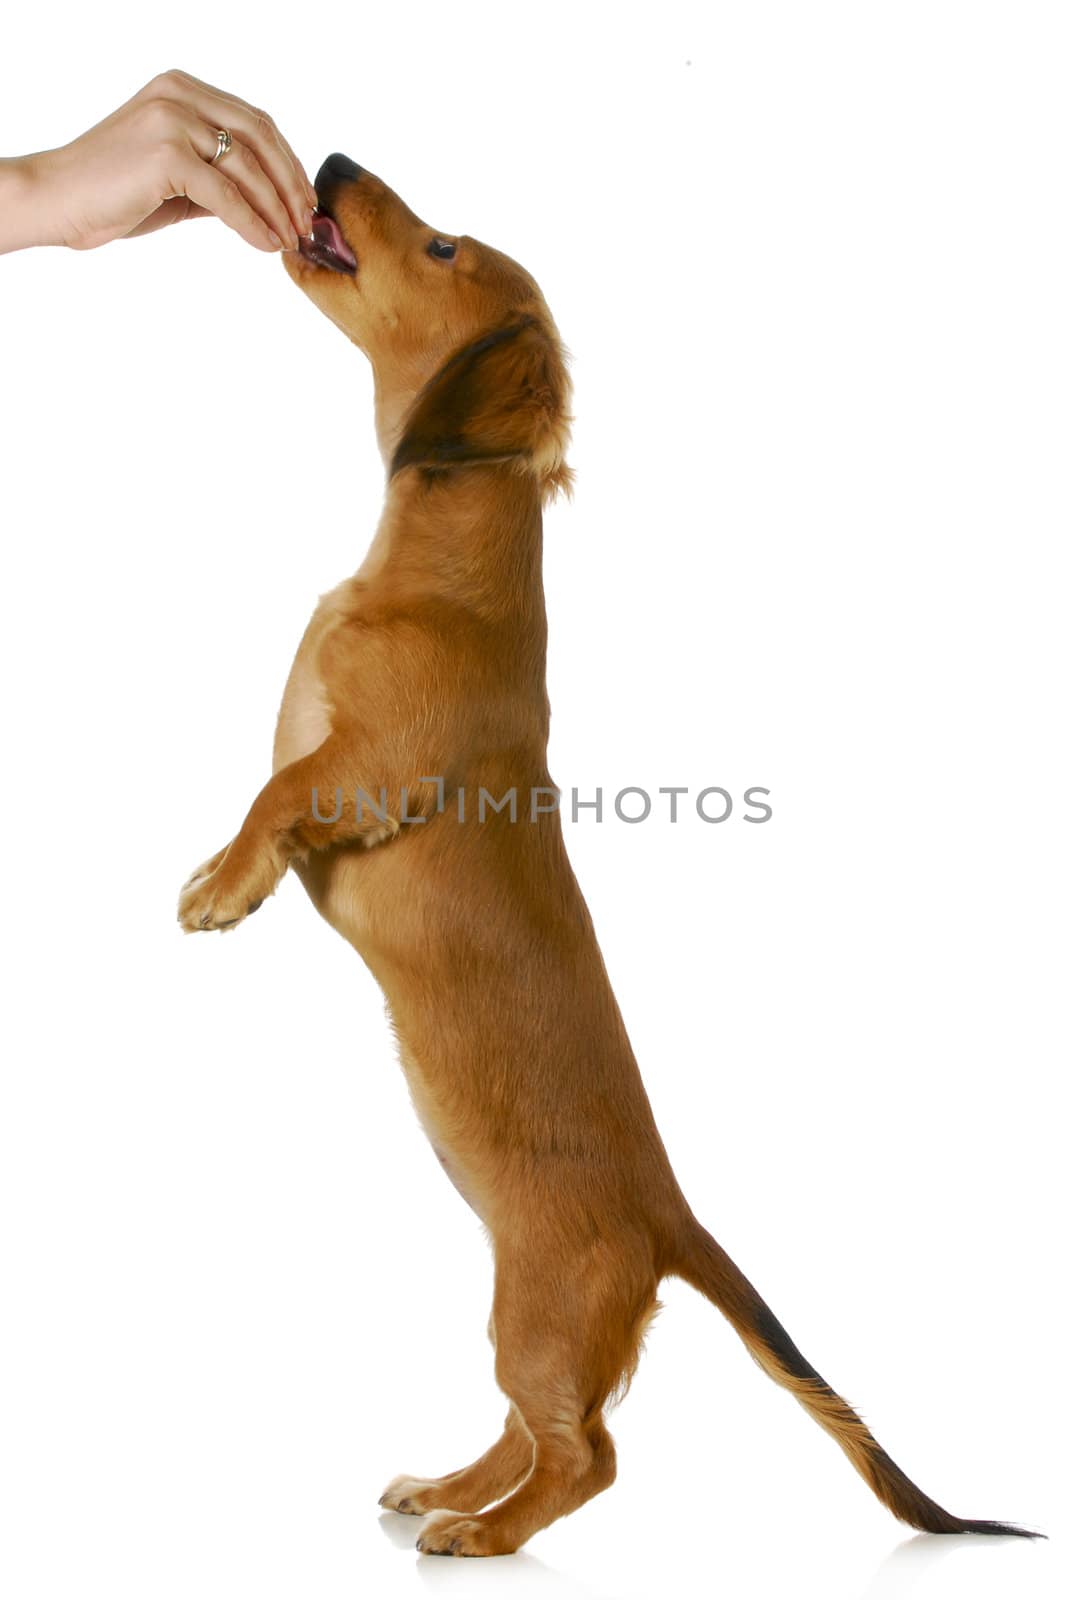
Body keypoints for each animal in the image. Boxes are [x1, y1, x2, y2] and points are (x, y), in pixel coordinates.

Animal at [175, 156, 1030, 1555]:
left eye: (443, 244)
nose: (336, 162)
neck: (443, 575)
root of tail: (669, 1217)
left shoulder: (363, 769)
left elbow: (276, 787)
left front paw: (217, 887)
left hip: (536, 1310)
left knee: (587, 1455)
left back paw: (481, 1533)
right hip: (519, 1306)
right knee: (532, 1432)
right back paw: (446, 1490)